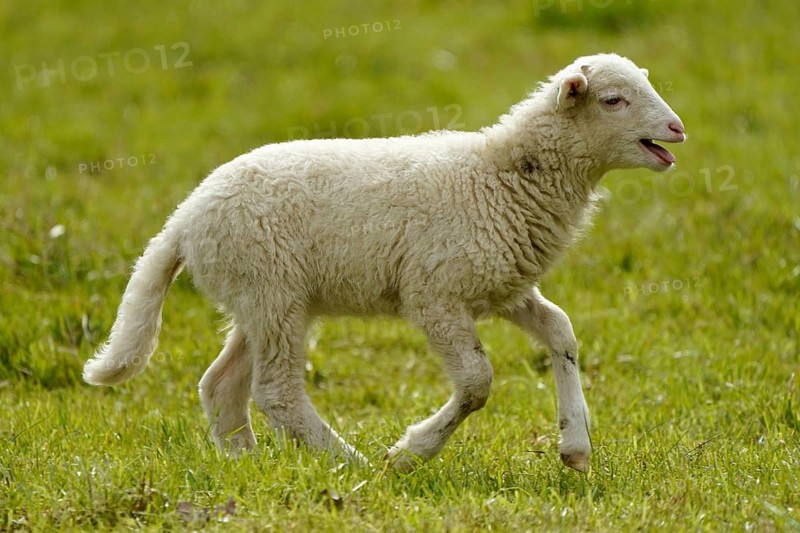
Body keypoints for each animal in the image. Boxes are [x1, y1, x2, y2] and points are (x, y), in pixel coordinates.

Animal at [83, 53, 686, 473]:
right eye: (613, 100)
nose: (677, 129)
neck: (500, 177)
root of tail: (183, 222)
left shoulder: (501, 287)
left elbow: (561, 332)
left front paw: (576, 445)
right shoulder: (434, 294)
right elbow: (477, 382)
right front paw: (411, 453)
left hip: (262, 298)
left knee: (221, 385)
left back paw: (245, 465)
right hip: (271, 288)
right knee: (276, 391)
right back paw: (349, 463)